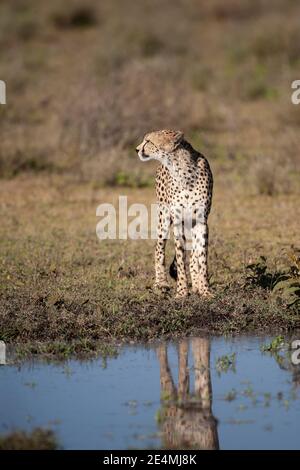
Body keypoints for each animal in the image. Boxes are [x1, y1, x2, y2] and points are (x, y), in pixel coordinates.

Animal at [136, 129, 213, 298]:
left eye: (148, 141)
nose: (136, 149)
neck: (182, 171)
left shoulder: (201, 221)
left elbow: (201, 257)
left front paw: (205, 290)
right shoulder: (177, 221)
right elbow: (180, 257)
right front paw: (182, 292)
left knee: (194, 256)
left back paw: (196, 286)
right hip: (163, 219)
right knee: (159, 248)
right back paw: (161, 283)